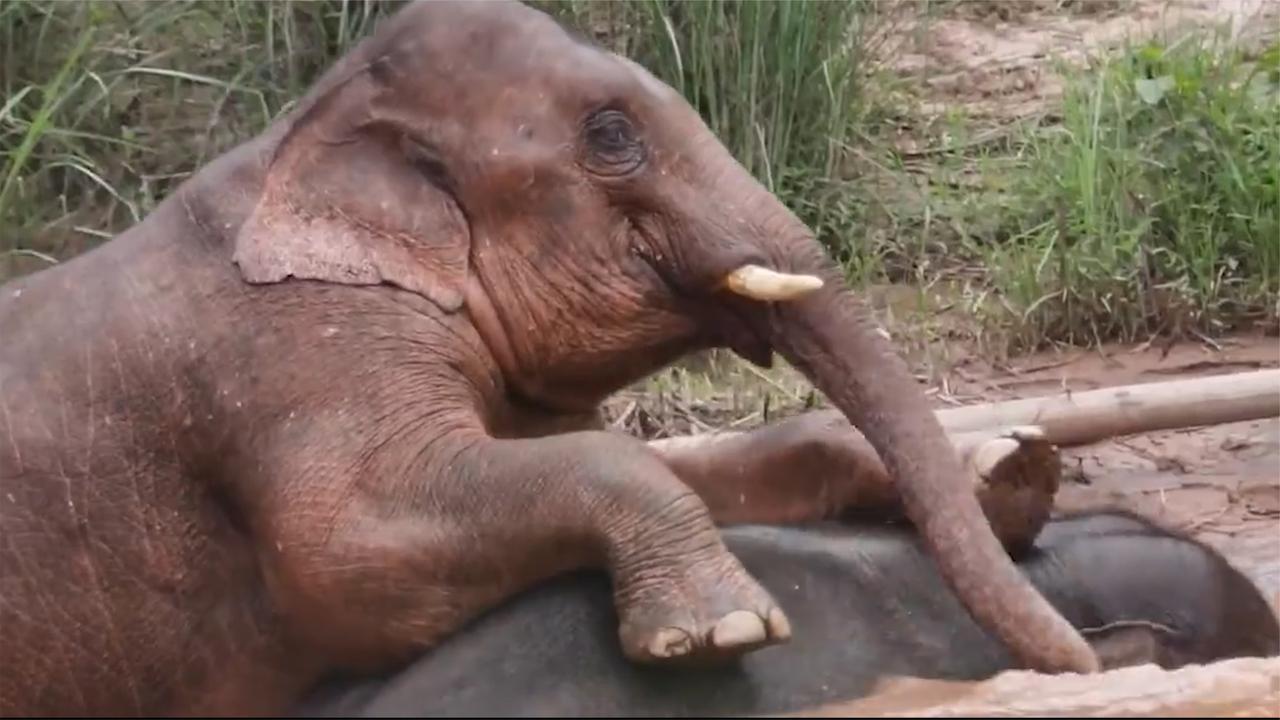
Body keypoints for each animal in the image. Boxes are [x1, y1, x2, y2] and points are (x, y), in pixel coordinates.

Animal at [0, 0, 1094, 715]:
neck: (300, 136)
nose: (1085, 667)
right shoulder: (294, 358)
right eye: (611, 137)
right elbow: (346, 555)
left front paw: (1012, 473)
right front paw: (723, 634)